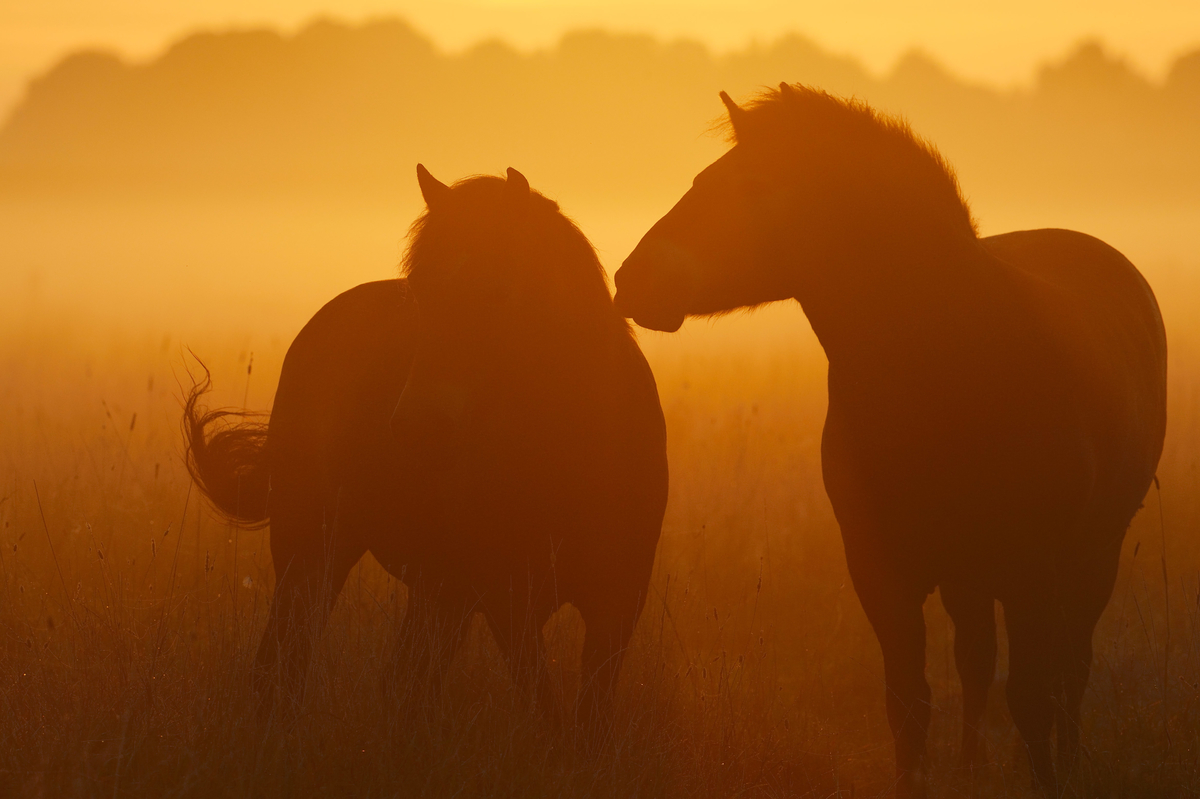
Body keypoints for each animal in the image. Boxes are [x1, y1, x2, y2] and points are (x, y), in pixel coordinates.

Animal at [184, 166, 668, 724]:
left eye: (499, 290)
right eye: (419, 294)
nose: (419, 425)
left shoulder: (618, 603)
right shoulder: (503, 599)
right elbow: (542, 706)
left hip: (434, 591)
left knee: (402, 679)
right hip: (314, 548)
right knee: (285, 662)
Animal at [612, 84, 1166, 794]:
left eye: (747, 184)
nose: (631, 280)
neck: (942, 372)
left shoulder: (1032, 571)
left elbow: (1032, 698)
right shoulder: (883, 572)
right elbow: (909, 705)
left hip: (1090, 555)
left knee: (1070, 668)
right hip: (969, 573)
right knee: (978, 662)